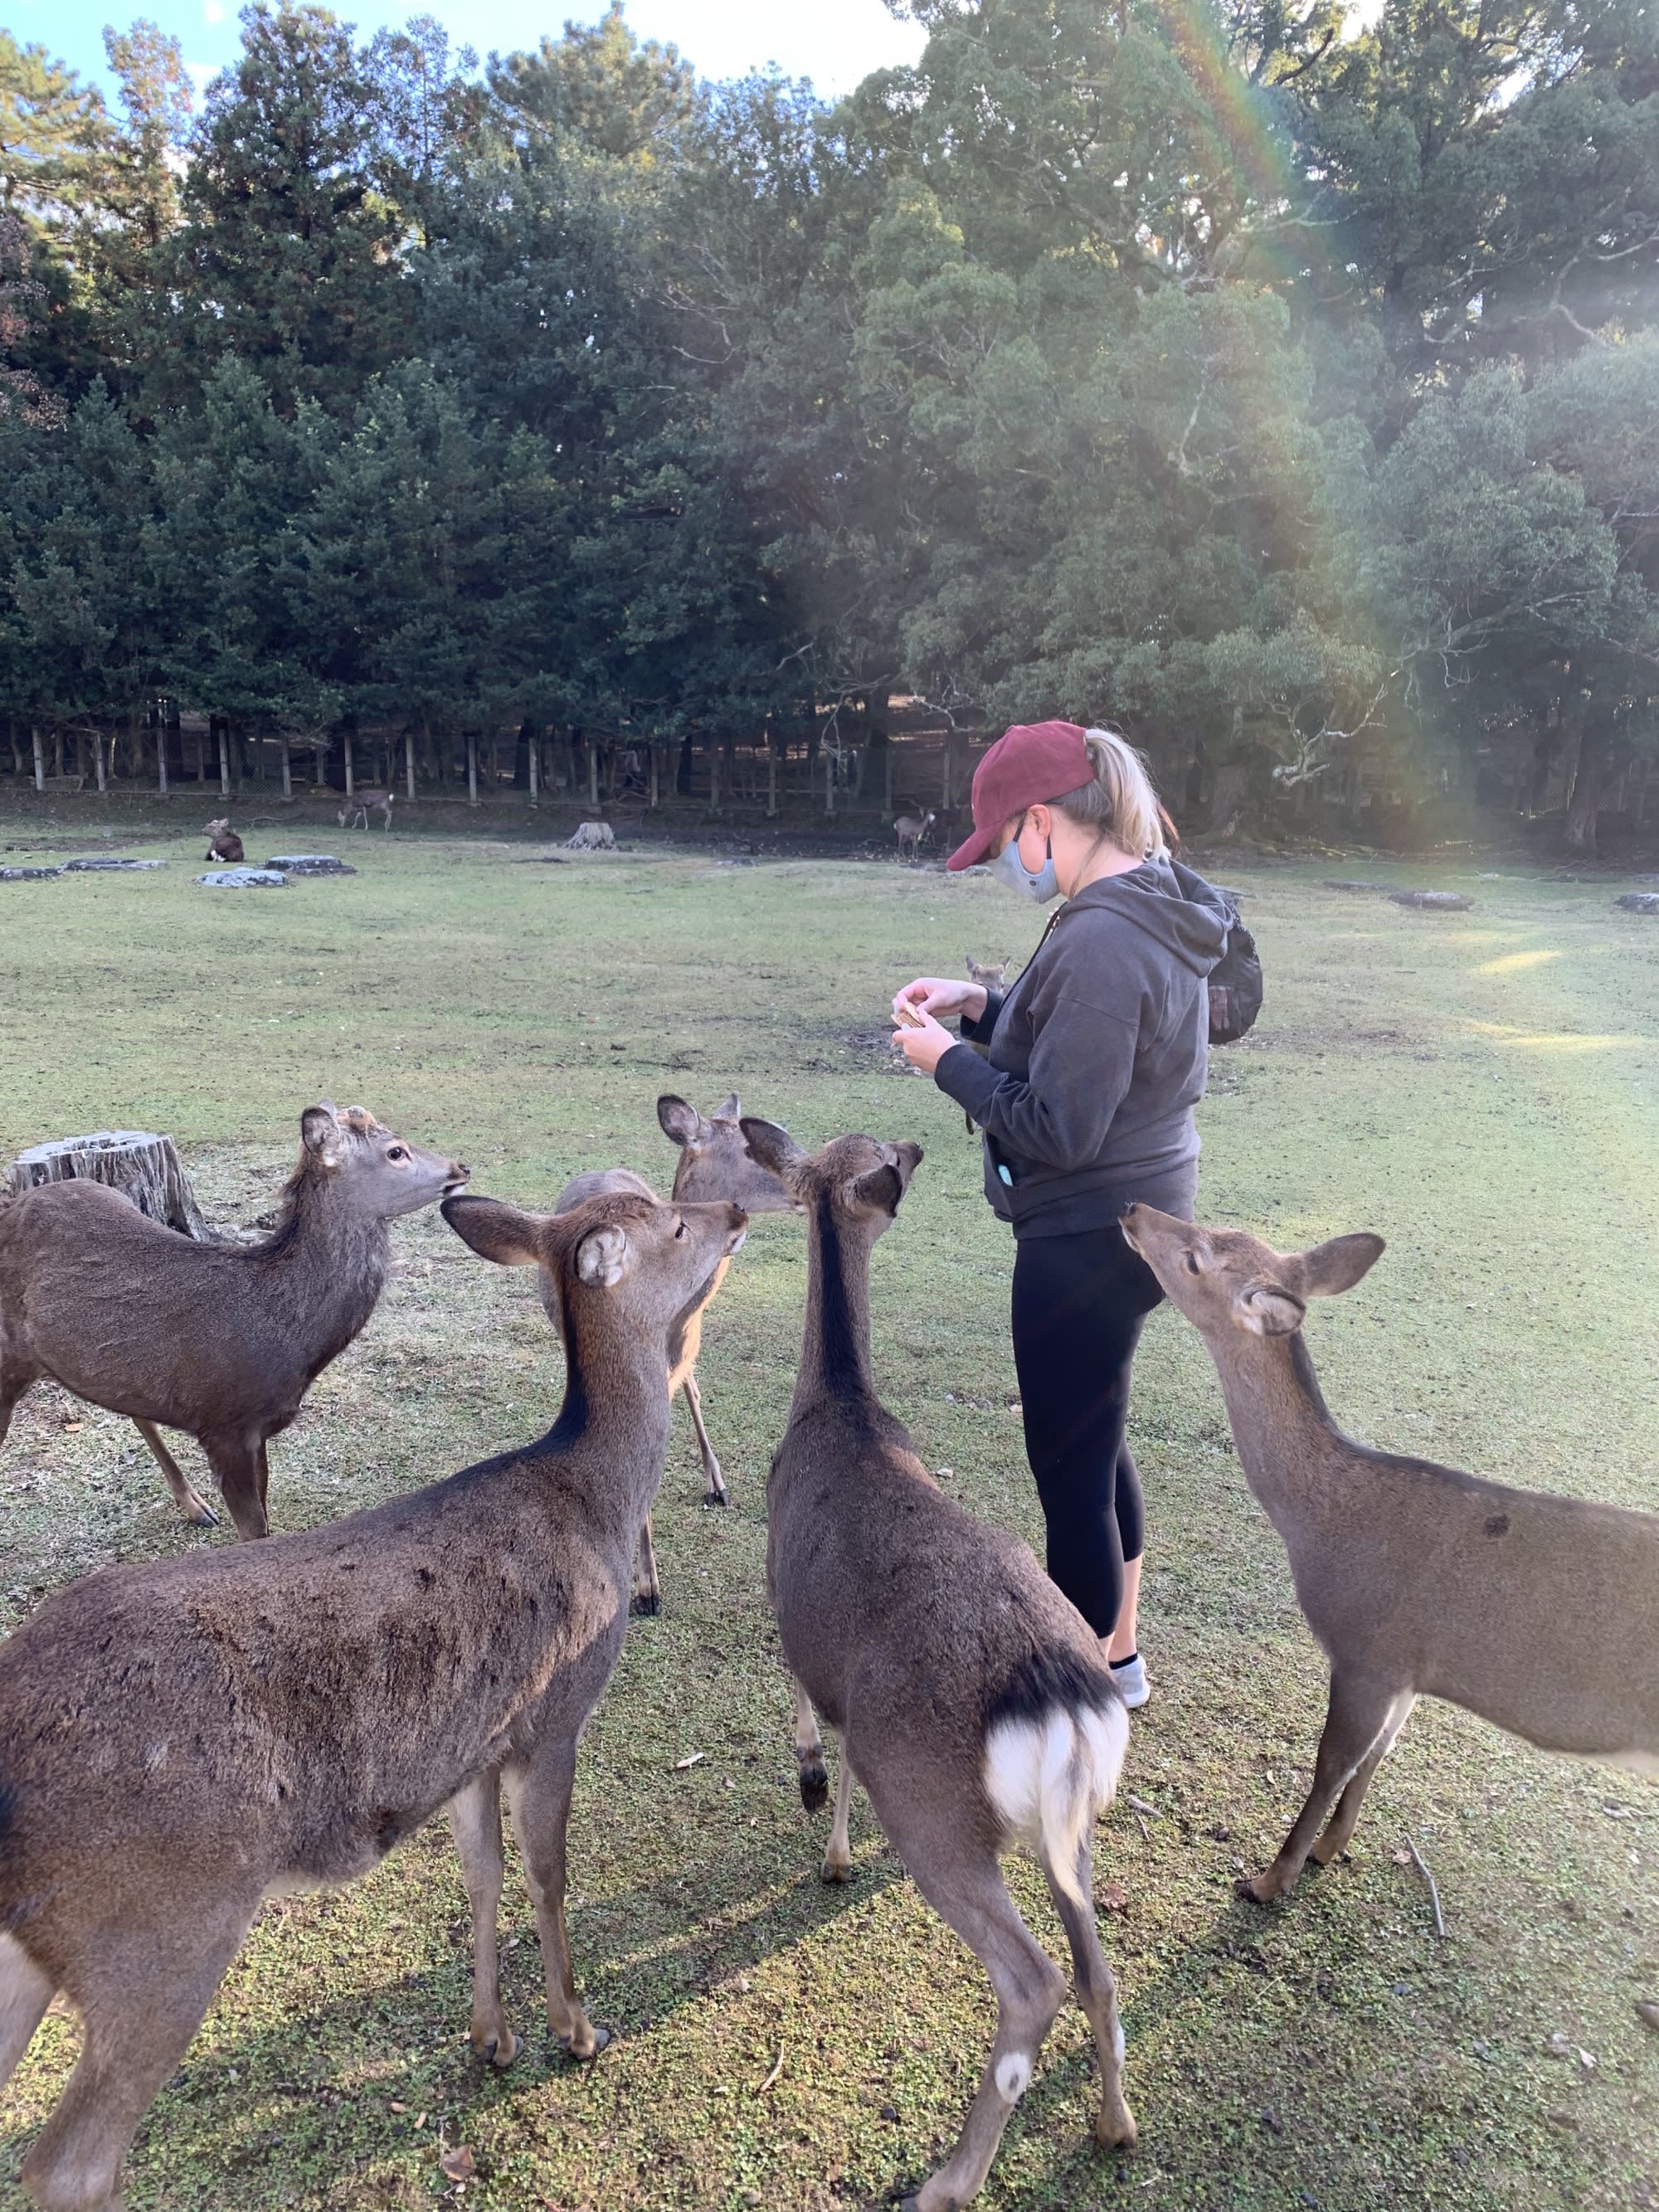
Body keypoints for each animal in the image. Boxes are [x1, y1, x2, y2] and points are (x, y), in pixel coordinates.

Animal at [0, 1105, 466, 1540]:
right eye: (396, 1151)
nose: (461, 1168)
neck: (287, 1345)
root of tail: (14, 1204)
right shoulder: (223, 1426)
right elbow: (253, 1531)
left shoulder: (257, 1432)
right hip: (9, 1352)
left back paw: (195, 1506)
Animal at [0, 1183, 748, 2212]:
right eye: (673, 1223)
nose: (736, 1210)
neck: (593, 1497)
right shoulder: (554, 1715)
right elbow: (548, 1875)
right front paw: (576, 2030)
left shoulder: (471, 1747)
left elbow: (480, 1877)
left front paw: (492, 2038)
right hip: (159, 1924)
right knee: (68, 2163)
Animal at [741, 1116, 1136, 2212]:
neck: (835, 1407)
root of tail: (1063, 1697)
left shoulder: (791, 1612)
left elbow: (815, 1723)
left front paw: (824, 1831)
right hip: (1069, 1826)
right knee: (1097, 1968)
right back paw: (1114, 2124)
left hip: (932, 1810)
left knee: (1034, 1980)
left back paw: (947, 2180)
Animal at [1118, 1203, 1659, 1906]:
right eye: (1213, 1229)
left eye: (1195, 1259)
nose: (1132, 1209)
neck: (1322, 1526)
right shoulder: (1407, 1668)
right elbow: (1379, 1753)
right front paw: (1330, 1848)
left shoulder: (1367, 1650)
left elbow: (1330, 1762)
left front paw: (1269, 1877)